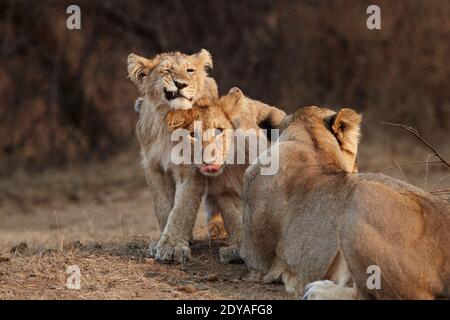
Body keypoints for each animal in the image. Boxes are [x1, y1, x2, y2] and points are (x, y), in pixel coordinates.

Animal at [126, 49, 218, 262]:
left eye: (190, 70)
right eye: (166, 70)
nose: (181, 84)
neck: (169, 118)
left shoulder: (192, 169)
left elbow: (182, 208)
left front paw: (173, 247)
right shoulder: (154, 168)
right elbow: (163, 207)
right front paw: (162, 242)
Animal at [167, 87, 286, 262]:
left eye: (219, 131)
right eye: (192, 135)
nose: (207, 160)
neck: (234, 163)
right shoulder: (223, 192)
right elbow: (234, 221)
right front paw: (236, 248)